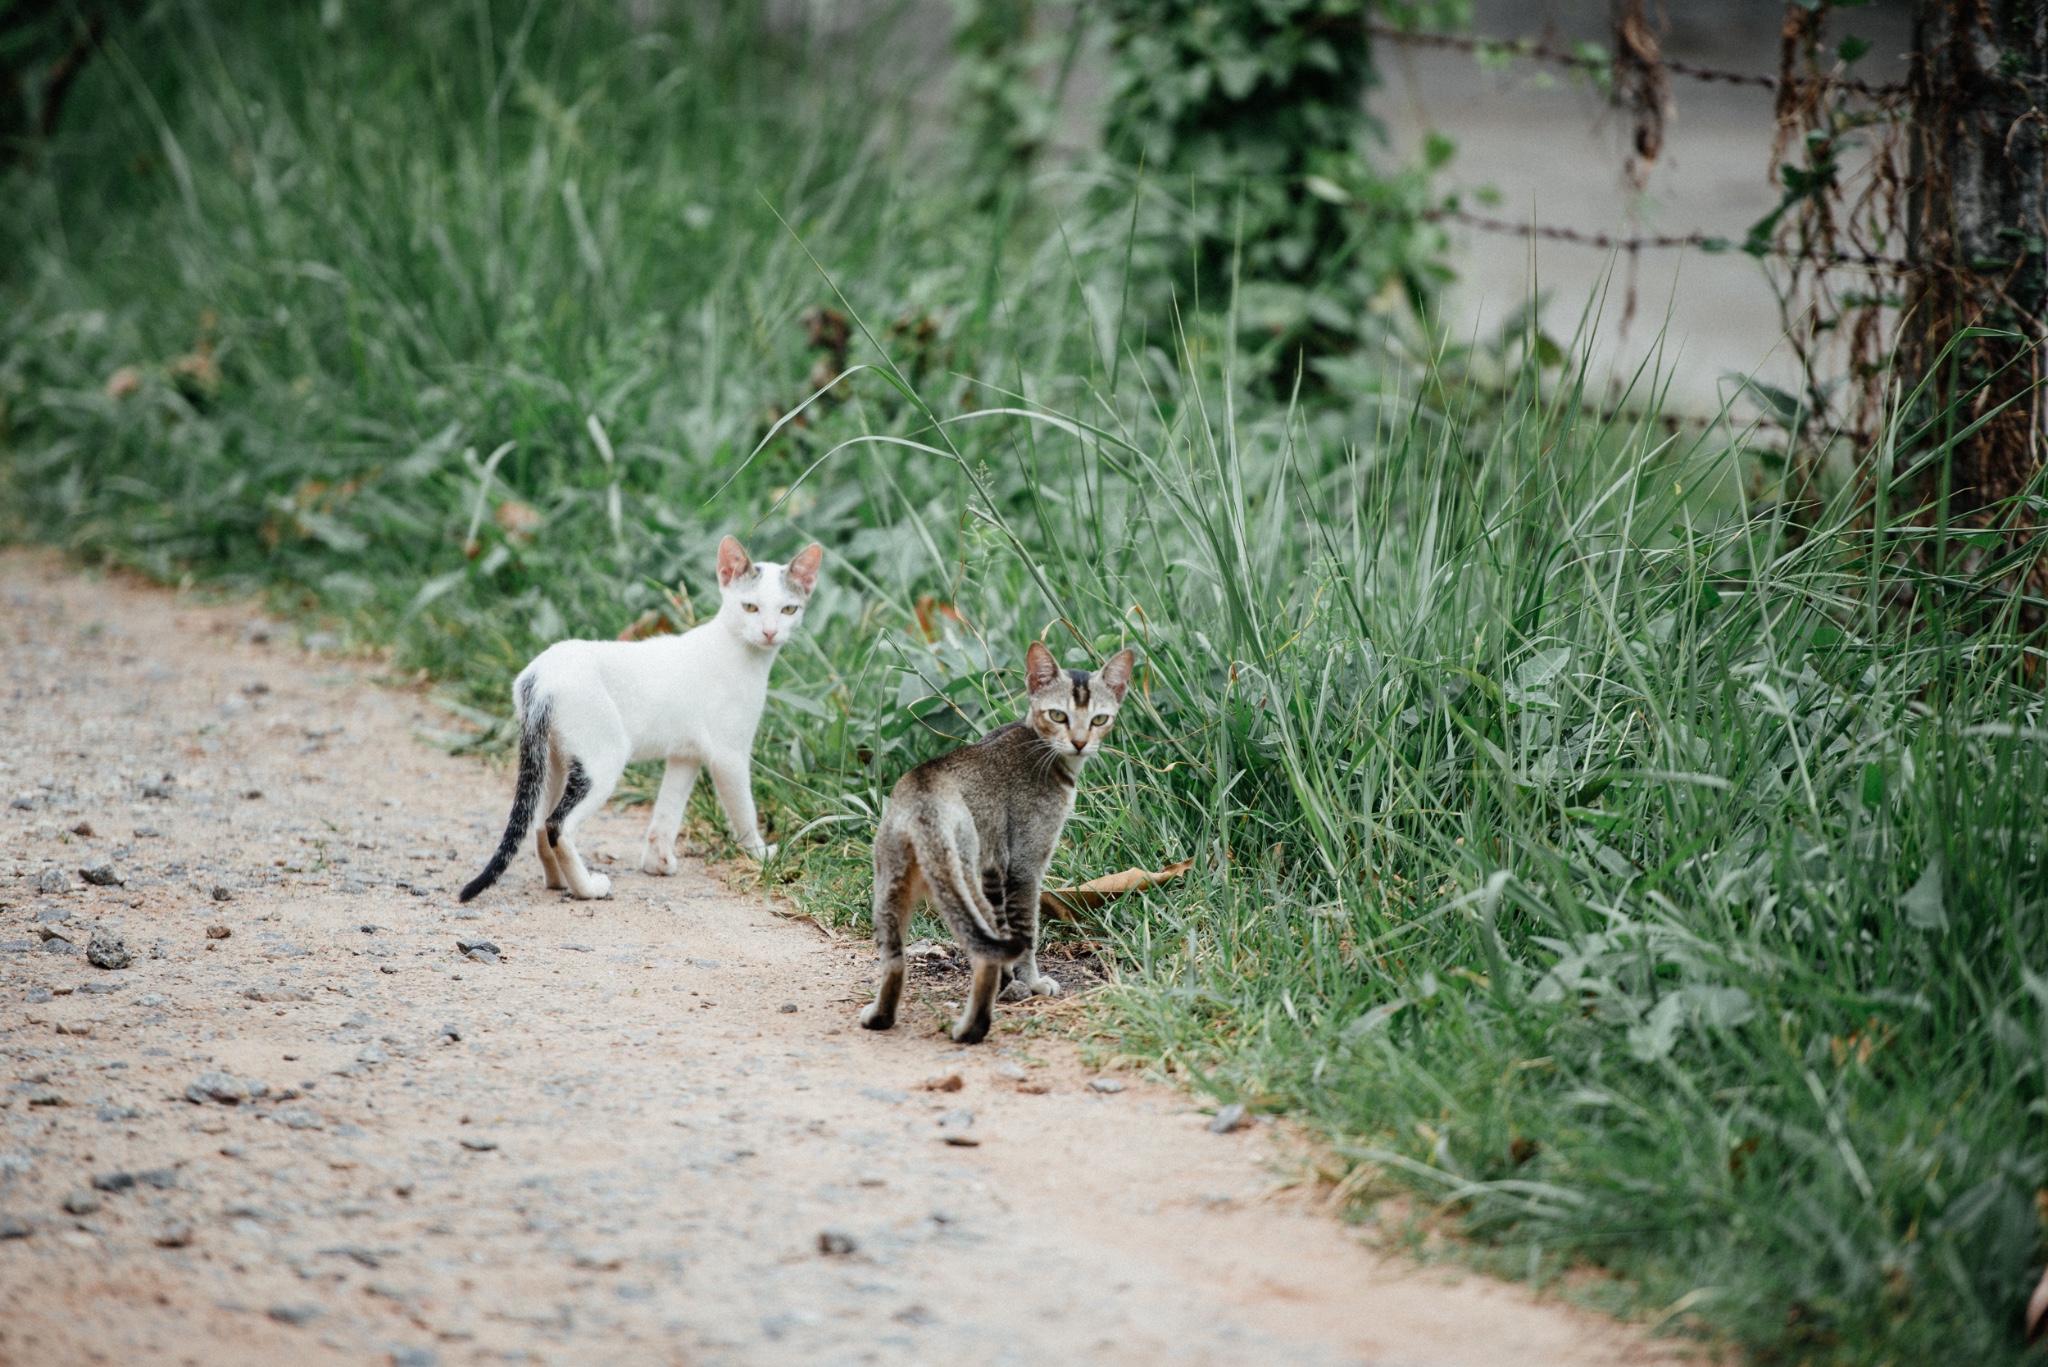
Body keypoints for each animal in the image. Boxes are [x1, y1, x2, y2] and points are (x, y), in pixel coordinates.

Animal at [460, 541, 819, 901]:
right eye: (750, 607)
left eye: (789, 609)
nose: (770, 632)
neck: (744, 654)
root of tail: (539, 675)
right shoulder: (728, 755)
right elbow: (743, 810)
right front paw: (760, 855)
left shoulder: (685, 755)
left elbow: (667, 810)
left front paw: (656, 862)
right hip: (603, 756)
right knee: (556, 824)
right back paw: (587, 888)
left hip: (553, 759)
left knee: (537, 822)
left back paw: (557, 881)